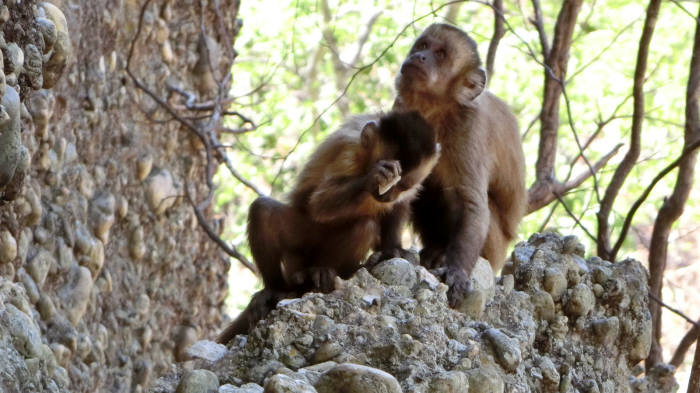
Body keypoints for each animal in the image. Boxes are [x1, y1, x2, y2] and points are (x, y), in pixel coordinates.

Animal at [216, 111, 440, 344]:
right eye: (387, 179)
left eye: (403, 185)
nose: (386, 195)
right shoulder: (348, 152)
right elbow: (319, 204)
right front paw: (373, 177)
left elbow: (399, 206)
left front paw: (392, 249)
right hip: (299, 249)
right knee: (264, 211)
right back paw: (277, 290)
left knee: (364, 226)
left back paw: (324, 273)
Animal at [378, 23, 524, 306]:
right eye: (423, 46)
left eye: (441, 54)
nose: (420, 57)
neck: (437, 111)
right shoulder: (402, 110)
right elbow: (398, 187)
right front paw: (390, 249)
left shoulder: (469, 128)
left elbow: (472, 204)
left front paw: (456, 271)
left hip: (496, 249)